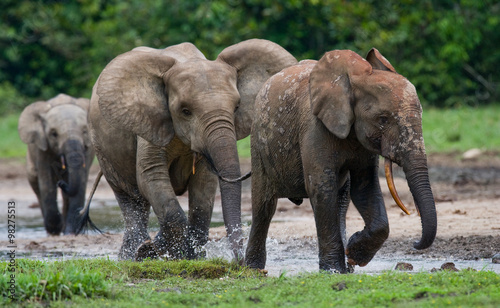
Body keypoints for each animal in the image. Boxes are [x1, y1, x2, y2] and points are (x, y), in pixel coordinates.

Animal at [18, 92, 95, 235]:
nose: (61, 183)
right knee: (37, 187)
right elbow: (46, 182)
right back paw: (51, 231)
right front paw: (55, 229)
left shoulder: (88, 148)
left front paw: (70, 232)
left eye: (85, 131)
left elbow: (81, 182)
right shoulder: (42, 147)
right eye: (53, 134)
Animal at [89, 38, 296, 260]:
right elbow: (150, 175)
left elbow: (204, 187)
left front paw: (192, 255)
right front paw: (166, 252)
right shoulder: (150, 122)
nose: (239, 260)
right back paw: (134, 254)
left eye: (237, 107)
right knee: (130, 197)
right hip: (101, 146)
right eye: (185, 111)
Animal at [246, 49, 438, 274]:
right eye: (383, 119)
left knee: (342, 200)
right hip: (258, 141)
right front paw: (333, 270)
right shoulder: (314, 127)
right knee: (264, 206)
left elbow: (365, 187)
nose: (415, 243)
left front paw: (353, 254)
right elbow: (321, 188)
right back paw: (253, 269)